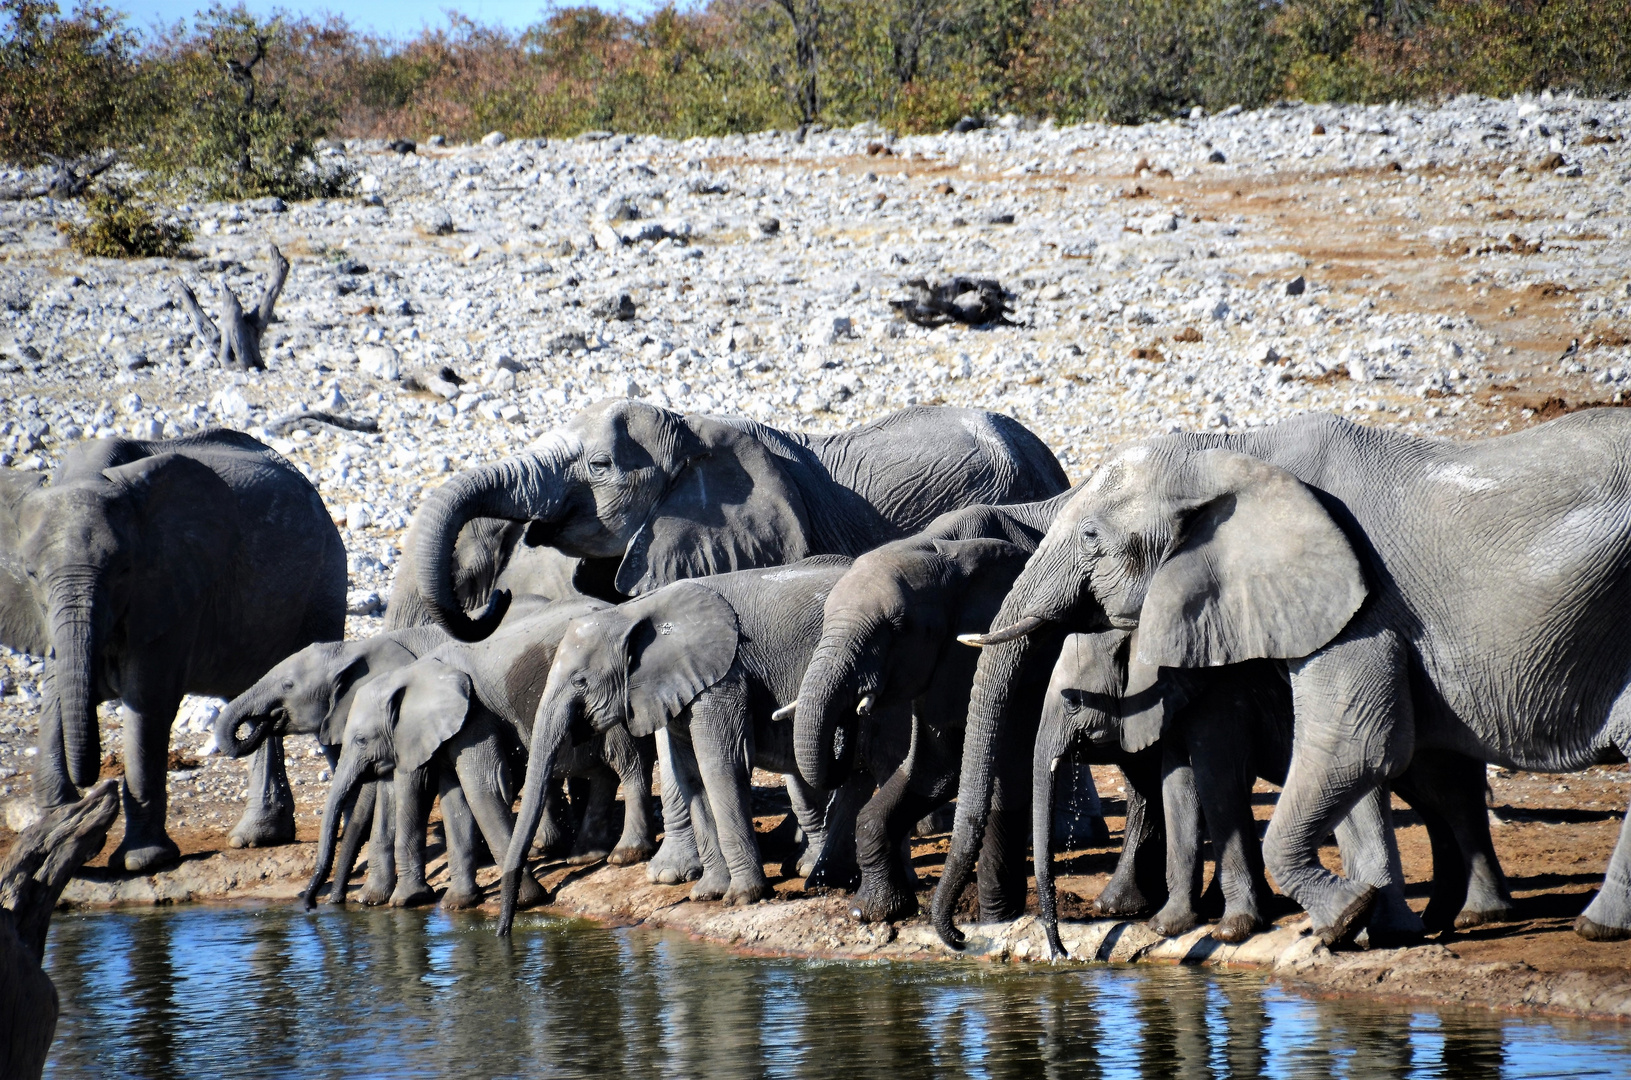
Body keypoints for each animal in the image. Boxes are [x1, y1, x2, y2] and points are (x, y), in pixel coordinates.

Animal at [939, 411, 1624, 952]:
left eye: (1091, 540)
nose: (963, 939)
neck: (1232, 452)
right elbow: (1191, 780)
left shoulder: (1353, 606)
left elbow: (1343, 751)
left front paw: (1324, 922)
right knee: (1440, 787)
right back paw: (1461, 919)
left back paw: (1583, 926)